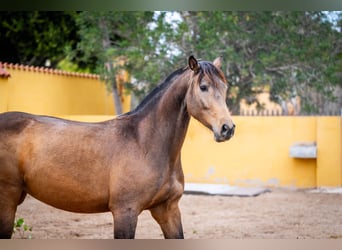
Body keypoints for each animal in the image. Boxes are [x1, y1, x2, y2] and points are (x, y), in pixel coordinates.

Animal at [0, 55, 234, 239]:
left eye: (224, 87)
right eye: (203, 87)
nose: (227, 128)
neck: (145, 143)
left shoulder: (168, 210)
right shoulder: (125, 212)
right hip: (7, 198)